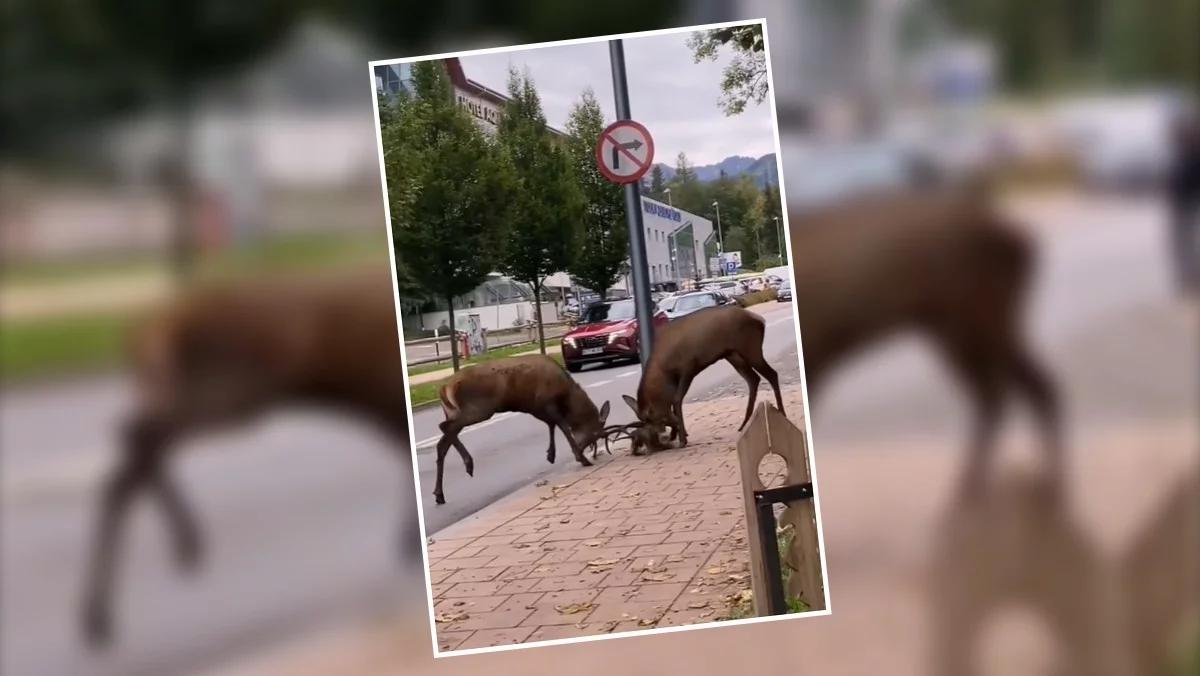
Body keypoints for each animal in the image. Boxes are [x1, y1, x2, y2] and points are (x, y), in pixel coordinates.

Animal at [82, 267, 415, 648]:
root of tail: (147, 331)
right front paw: (408, 539)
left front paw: (407, 539)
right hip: (221, 391)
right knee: (133, 450)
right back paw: (100, 614)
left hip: (187, 391)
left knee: (135, 444)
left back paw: (184, 547)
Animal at [619, 303, 787, 451]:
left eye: (649, 418)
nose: (658, 439)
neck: (664, 369)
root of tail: (761, 320)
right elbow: (673, 401)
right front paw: (678, 434)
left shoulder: (688, 366)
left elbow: (676, 400)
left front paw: (682, 439)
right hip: (733, 355)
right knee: (753, 379)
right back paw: (744, 424)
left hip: (750, 348)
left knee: (771, 374)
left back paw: (782, 413)